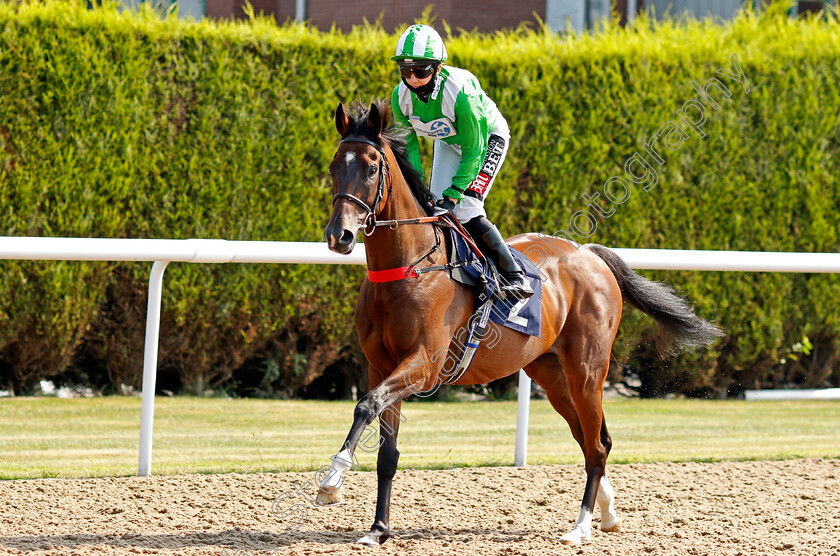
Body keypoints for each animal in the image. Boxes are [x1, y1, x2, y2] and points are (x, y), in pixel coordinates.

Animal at [318, 101, 724, 548]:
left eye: (372, 168)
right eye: (335, 164)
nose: (340, 235)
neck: (409, 268)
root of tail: (589, 253)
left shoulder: (423, 365)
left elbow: (364, 404)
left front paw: (332, 481)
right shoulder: (381, 365)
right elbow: (385, 449)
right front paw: (378, 530)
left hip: (587, 370)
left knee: (597, 446)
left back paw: (580, 526)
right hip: (550, 372)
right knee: (591, 439)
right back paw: (607, 512)